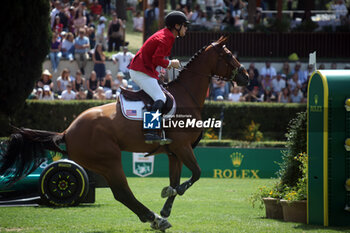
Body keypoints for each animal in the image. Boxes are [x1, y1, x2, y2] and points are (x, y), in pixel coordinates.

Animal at [0, 36, 249, 231]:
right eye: (228, 55)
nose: (246, 77)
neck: (186, 96)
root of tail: (68, 131)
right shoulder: (182, 147)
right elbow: (195, 175)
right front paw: (168, 199)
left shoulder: (174, 153)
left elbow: (177, 181)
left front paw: (166, 208)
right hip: (110, 159)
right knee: (122, 192)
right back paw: (153, 218)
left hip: (102, 163)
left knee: (120, 193)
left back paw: (156, 219)